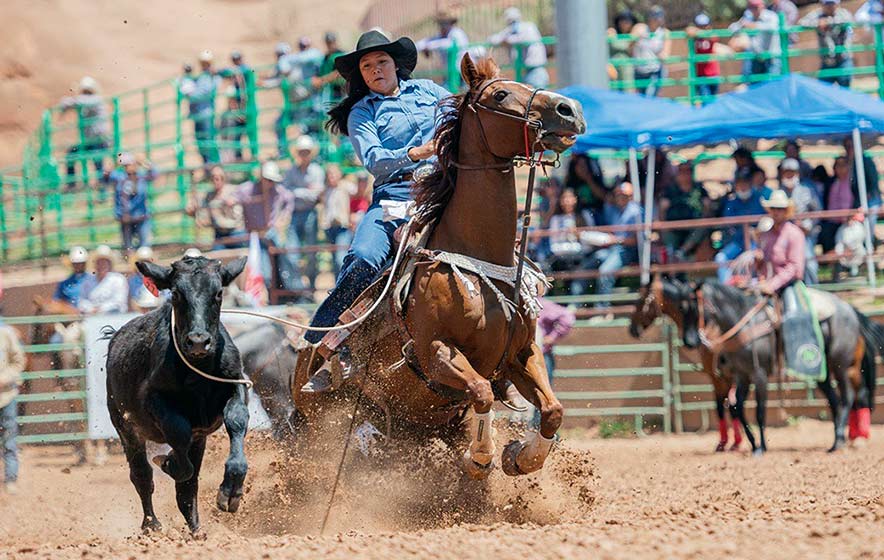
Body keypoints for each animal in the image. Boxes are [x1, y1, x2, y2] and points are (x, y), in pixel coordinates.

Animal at [294, 54, 588, 480]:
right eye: (500, 94)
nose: (571, 110)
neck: (476, 261)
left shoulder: (522, 352)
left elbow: (552, 410)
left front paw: (519, 455)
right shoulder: (436, 351)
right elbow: (481, 392)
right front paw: (479, 457)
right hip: (321, 422)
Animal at [628, 276, 876, 456]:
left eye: (641, 301)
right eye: (682, 308)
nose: (691, 340)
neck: (740, 324)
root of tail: (850, 310)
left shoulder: (754, 375)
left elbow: (755, 411)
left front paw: (754, 447)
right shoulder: (740, 375)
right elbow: (736, 407)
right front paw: (749, 443)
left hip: (841, 365)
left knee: (849, 397)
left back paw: (846, 440)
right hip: (822, 371)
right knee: (838, 399)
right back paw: (841, 439)